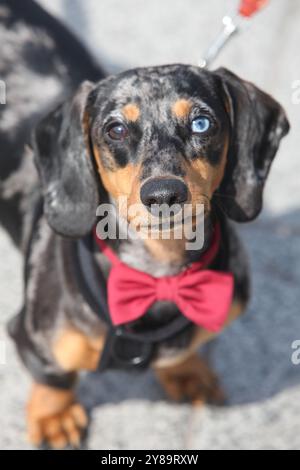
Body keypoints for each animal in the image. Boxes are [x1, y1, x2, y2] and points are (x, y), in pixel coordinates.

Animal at [0, 0, 290, 448]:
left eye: (202, 123)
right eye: (116, 129)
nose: (164, 195)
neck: (157, 274)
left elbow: (182, 351)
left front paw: (186, 371)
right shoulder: (34, 340)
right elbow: (55, 379)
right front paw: (54, 418)